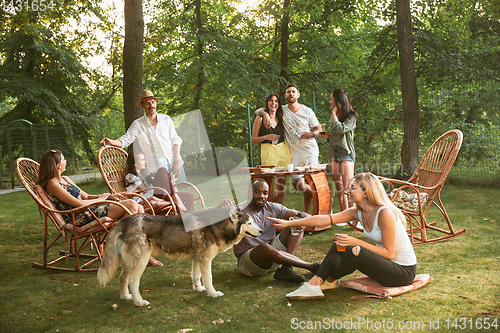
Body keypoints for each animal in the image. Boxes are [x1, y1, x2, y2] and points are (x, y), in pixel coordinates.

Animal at [97, 208, 262, 306]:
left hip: (128, 263)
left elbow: (196, 276)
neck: (215, 226)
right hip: (140, 262)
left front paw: (198, 288)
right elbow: (208, 279)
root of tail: (123, 221)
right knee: (132, 282)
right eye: (249, 223)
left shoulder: (197, 259)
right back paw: (139, 302)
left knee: (122, 279)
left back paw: (125, 297)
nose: (261, 231)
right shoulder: (205, 260)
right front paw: (213, 293)